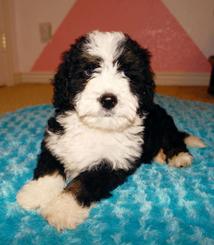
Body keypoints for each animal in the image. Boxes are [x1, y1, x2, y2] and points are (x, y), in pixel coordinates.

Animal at [16, 30, 204, 230]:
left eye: (126, 73)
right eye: (88, 71)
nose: (108, 100)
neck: (97, 128)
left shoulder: (113, 162)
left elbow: (83, 184)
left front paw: (62, 209)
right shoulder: (56, 141)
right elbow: (50, 168)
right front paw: (35, 193)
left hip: (164, 123)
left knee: (174, 138)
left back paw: (179, 156)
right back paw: (159, 156)